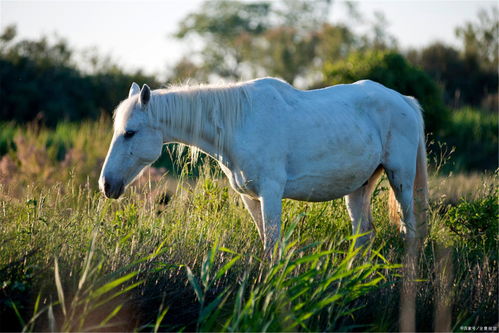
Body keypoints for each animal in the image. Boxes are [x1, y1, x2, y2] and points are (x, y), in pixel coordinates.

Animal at [98, 78, 430, 252]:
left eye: (130, 133)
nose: (106, 185)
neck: (239, 124)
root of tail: (404, 100)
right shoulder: (250, 198)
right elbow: (265, 243)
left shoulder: (271, 194)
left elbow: (273, 244)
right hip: (360, 187)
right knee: (363, 235)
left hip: (400, 179)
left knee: (411, 231)